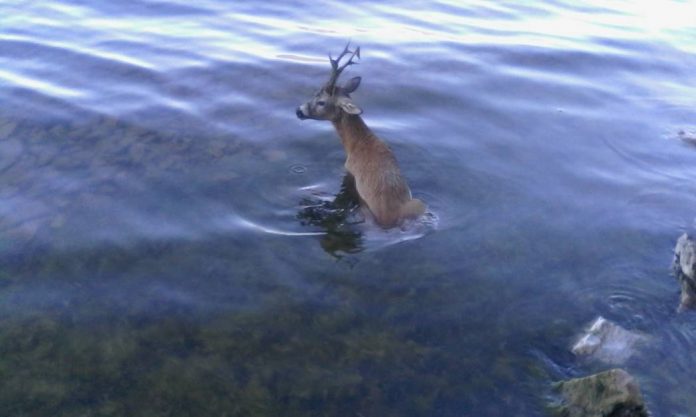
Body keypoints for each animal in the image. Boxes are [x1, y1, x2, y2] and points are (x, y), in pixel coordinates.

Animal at [294, 43, 424, 228]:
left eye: (321, 102)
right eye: (314, 93)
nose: (298, 111)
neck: (357, 143)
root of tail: (390, 220)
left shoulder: (349, 169)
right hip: (419, 204)